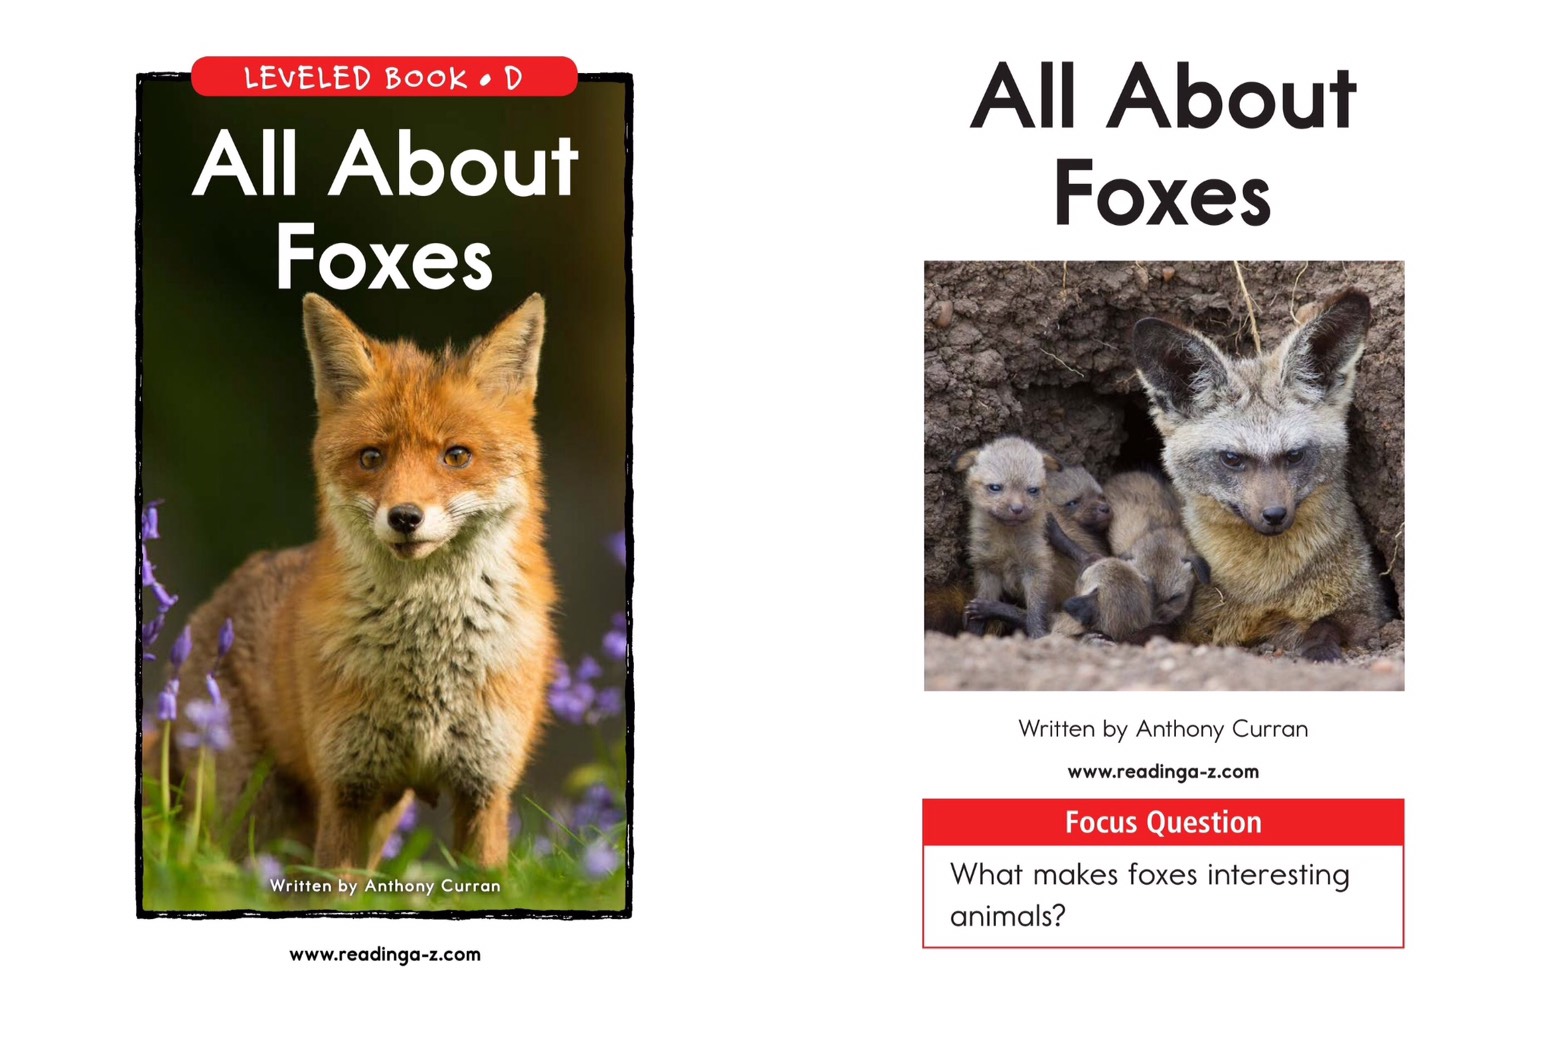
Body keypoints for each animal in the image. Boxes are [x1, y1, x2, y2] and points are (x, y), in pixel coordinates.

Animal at [160, 293, 556, 870]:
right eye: (372, 457)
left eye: (456, 455)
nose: (405, 517)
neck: (427, 660)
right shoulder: (349, 787)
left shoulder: (483, 787)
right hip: (252, 818)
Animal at [1131, 288, 1386, 662]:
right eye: (1232, 459)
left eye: (1294, 455)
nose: (1274, 514)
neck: (1263, 587)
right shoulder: (1196, 623)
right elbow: (1156, 631)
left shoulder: (1366, 608)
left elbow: (1327, 624)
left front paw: (1319, 647)